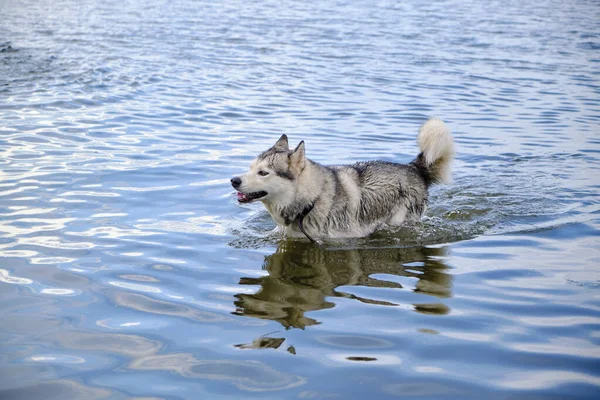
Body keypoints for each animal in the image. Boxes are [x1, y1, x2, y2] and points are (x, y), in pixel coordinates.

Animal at [231, 117, 454, 239]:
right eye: (251, 168)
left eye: (263, 172)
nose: (233, 180)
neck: (311, 201)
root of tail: (413, 167)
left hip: (398, 221)